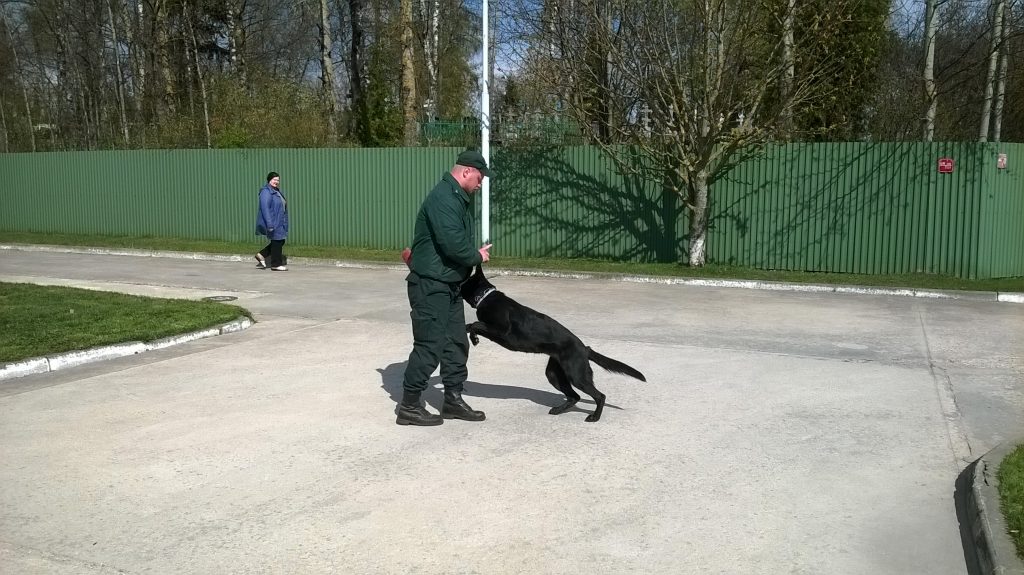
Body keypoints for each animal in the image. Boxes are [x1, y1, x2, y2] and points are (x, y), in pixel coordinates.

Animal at [460, 261, 643, 419]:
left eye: (463, 284)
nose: (456, 285)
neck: (486, 297)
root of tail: (585, 349)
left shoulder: (501, 330)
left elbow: (474, 324)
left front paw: (473, 336)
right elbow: (472, 325)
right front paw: (473, 337)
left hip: (577, 375)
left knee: (599, 396)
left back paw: (594, 417)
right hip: (554, 374)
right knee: (574, 396)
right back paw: (559, 410)